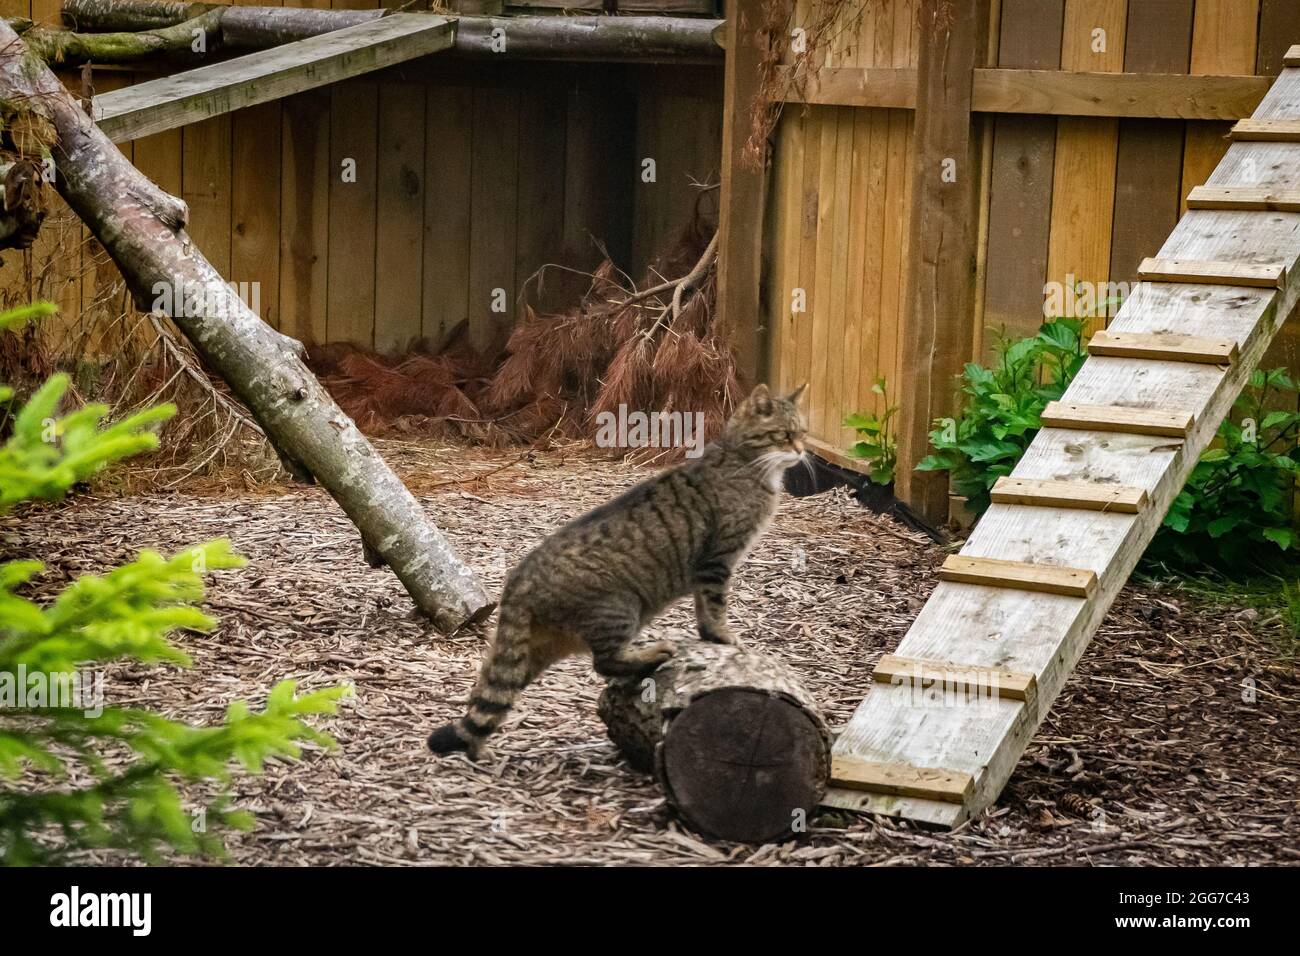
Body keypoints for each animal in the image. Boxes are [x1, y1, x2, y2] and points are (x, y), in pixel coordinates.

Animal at [431, 382, 806, 764]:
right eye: (785, 435)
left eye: (803, 433)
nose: (802, 451)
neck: (744, 461)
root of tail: (518, 580)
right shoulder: (717, 561)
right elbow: (715, 608)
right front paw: (724, 637)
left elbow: (703, 612)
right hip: (621, 608)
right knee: (604, 663)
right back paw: (652, 655)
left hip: (537, 648)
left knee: (493, 693)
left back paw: (475, 747)